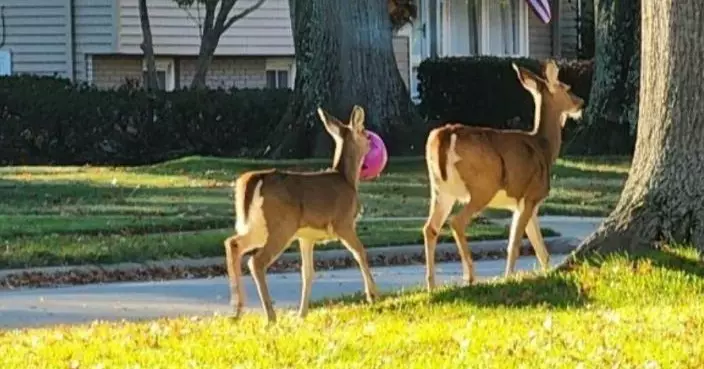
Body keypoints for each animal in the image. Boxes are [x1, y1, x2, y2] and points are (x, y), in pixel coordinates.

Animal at [420, 59, 584, 290]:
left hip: (440, 190)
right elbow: (514, 244)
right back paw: (470, 277)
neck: (544, 147)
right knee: (456, 222)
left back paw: (432, 284)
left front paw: (547, 273)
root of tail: (445, 135)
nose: (582, 103)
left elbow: (541, 249)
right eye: (567, 88)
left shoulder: (525, 203)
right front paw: (508, 277)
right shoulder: (531, 195)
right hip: (482, 187)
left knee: (430, 228)